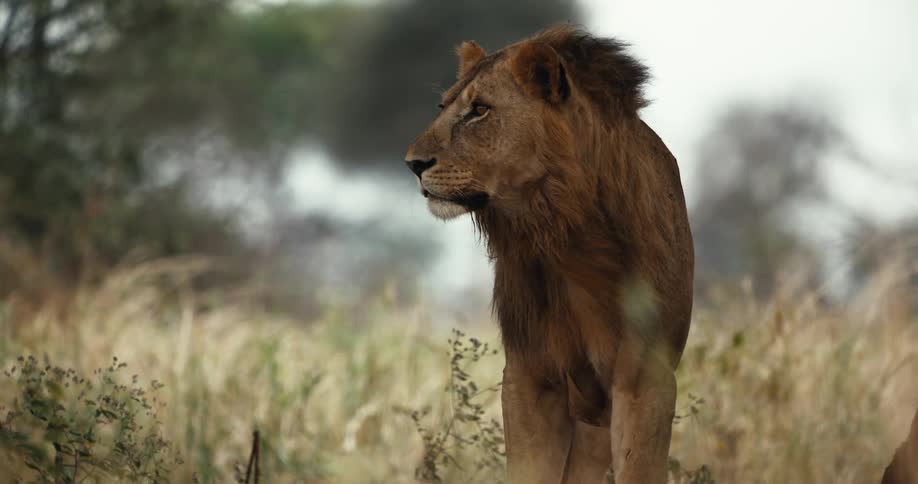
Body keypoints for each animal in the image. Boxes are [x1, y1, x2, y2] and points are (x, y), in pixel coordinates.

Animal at [405, 25, 694, 484]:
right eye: (442, 106)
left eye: (479, 110)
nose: (413, 164)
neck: (568, 230)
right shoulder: (530, 373)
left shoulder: (647, 377)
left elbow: (640, 467)